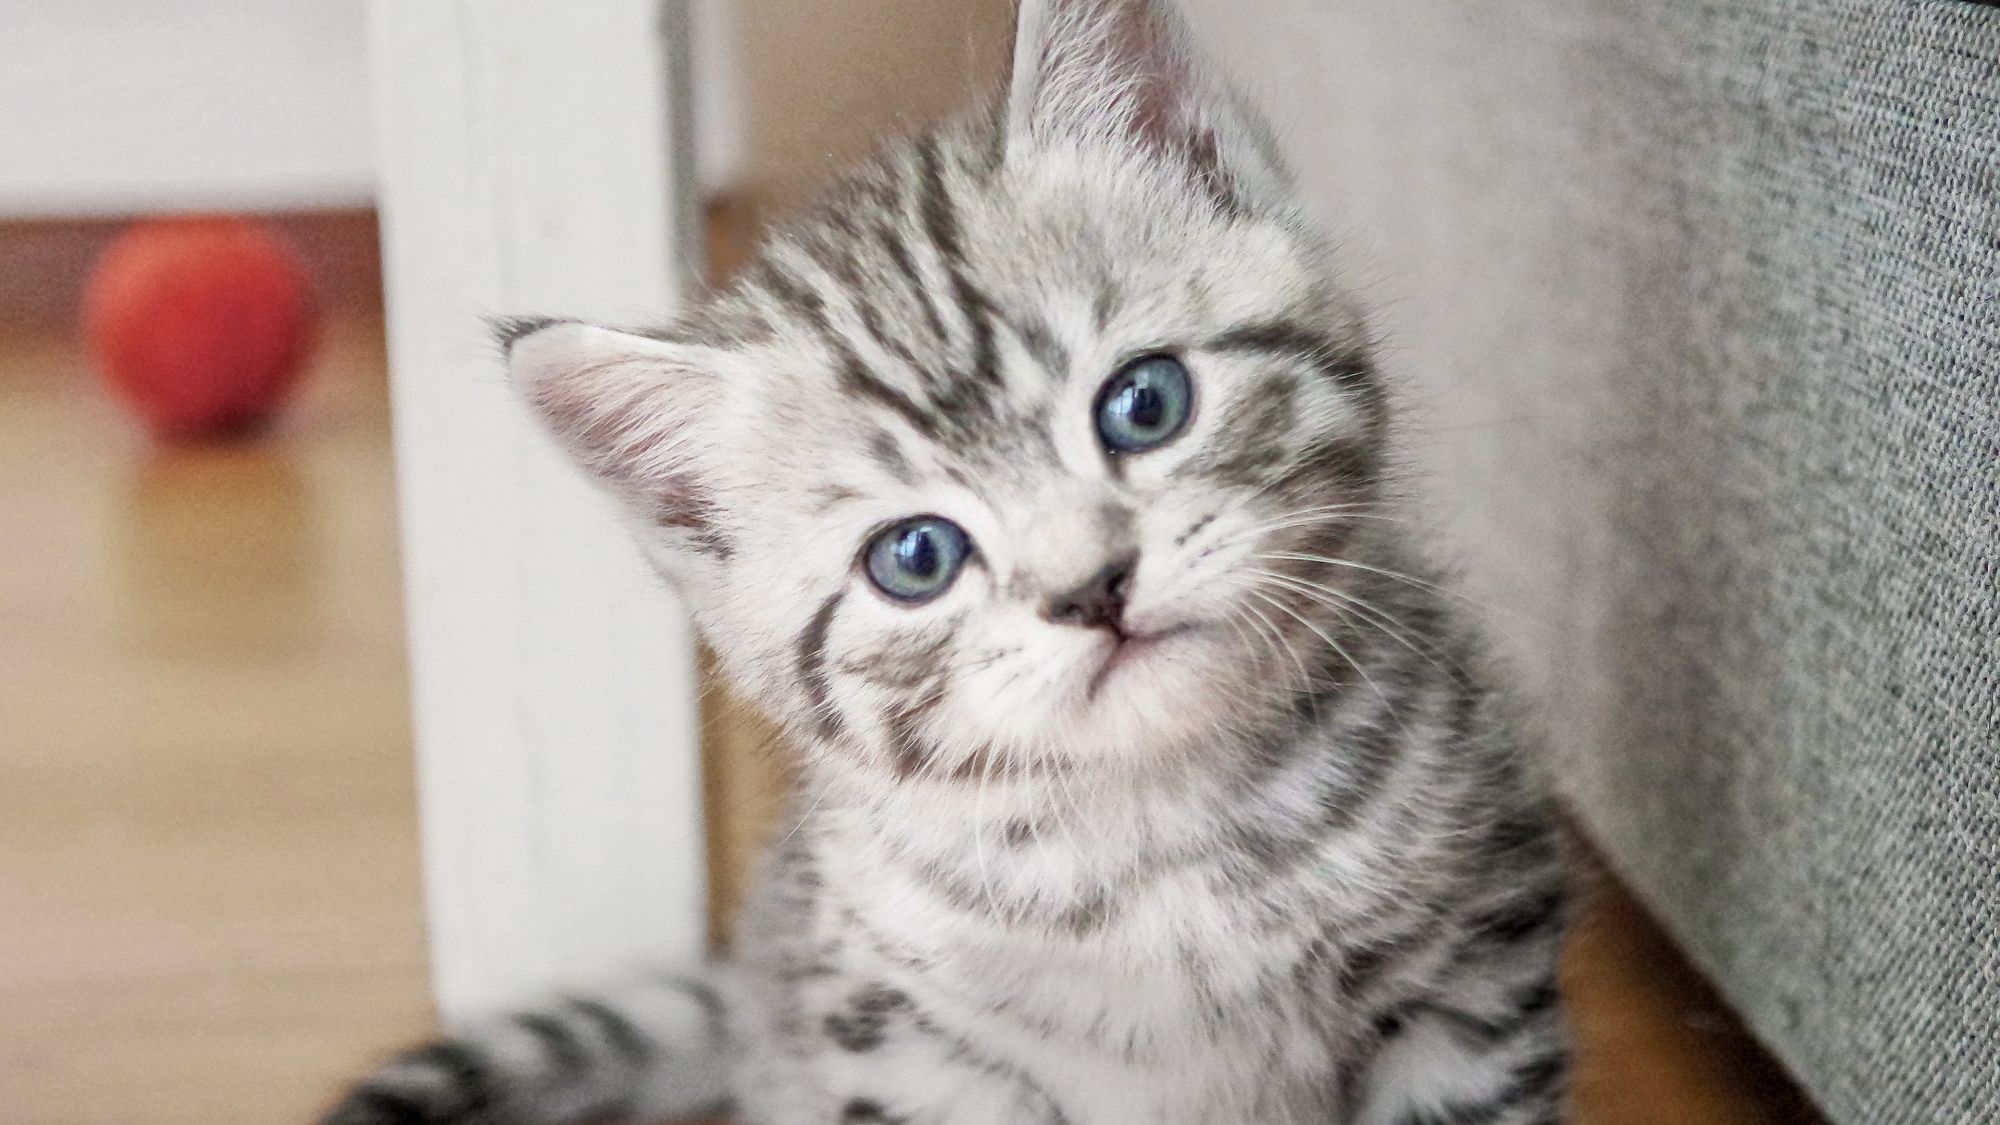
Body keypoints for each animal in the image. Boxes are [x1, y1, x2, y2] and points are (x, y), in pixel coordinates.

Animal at [320, 2, 1568, 1120]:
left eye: (1144, 403)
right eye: (915, 557)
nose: (1091, 588)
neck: (1160, 848)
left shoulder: (1477, 961)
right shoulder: (908, 1047)